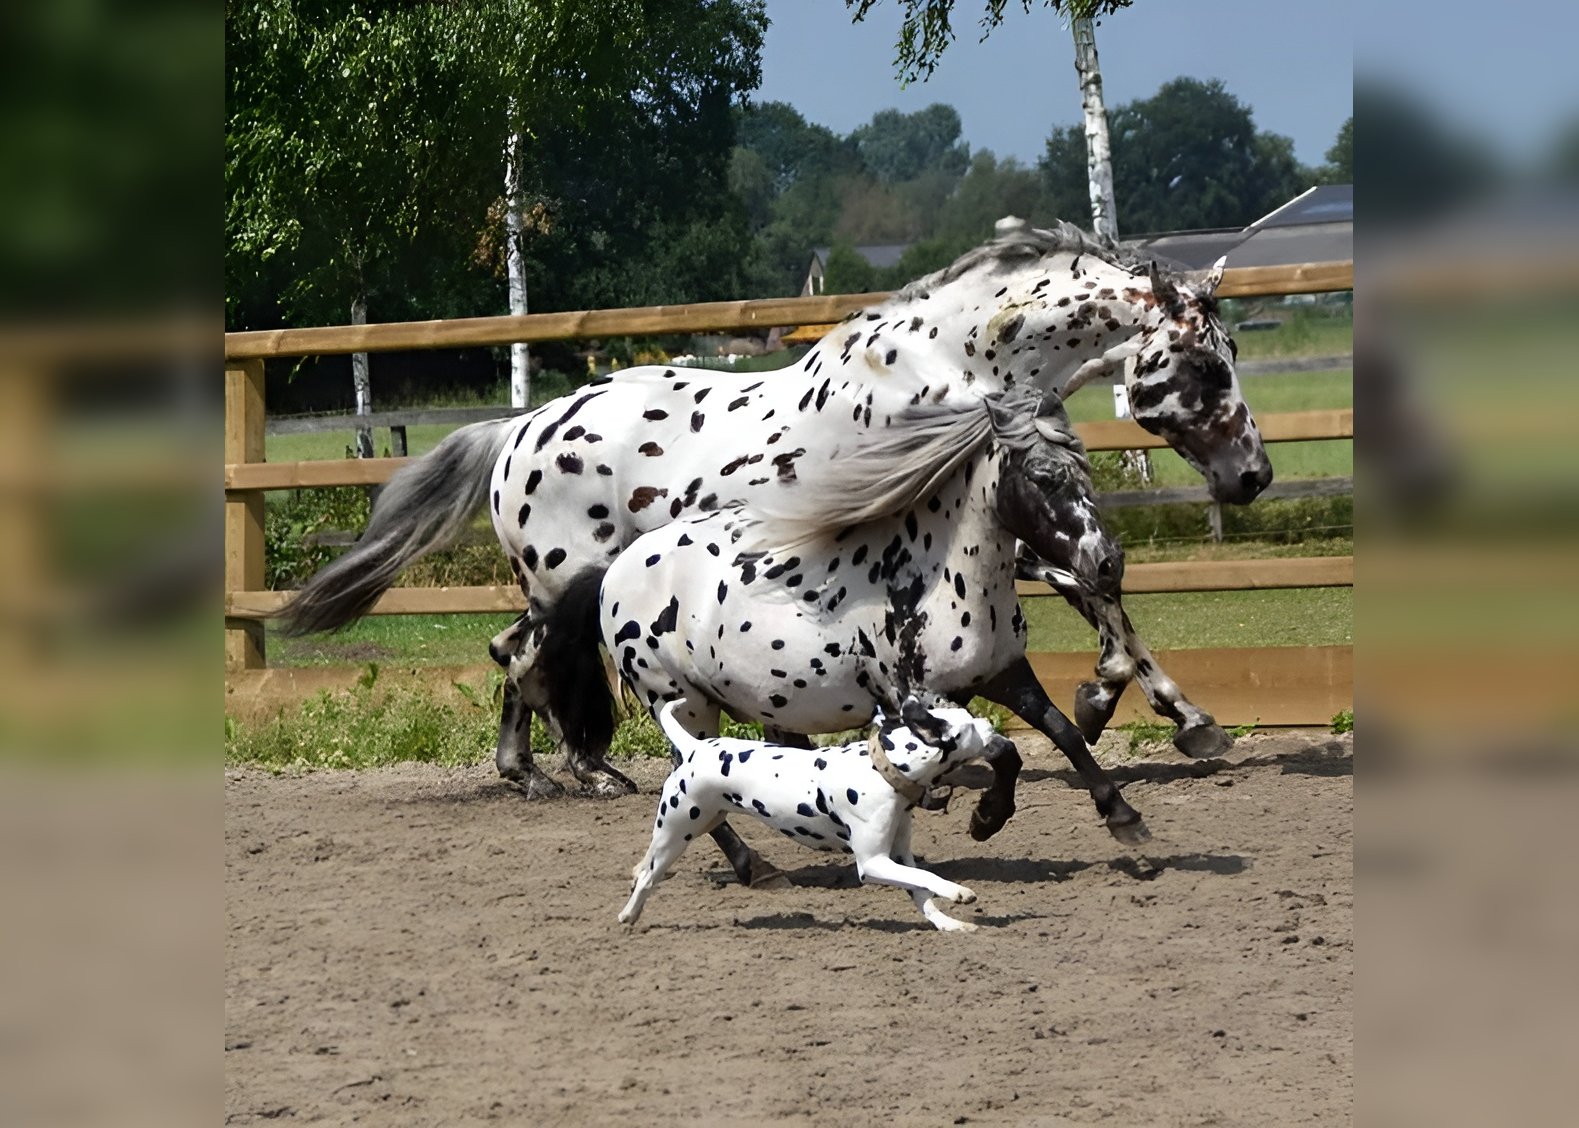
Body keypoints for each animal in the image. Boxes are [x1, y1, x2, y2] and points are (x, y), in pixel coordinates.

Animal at [615, 698, 1010, 928]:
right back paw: (629, 913)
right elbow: (928, 878)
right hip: (676, 834)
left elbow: (920, 891)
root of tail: (696, 747)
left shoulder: (899, 856)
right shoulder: (873, 864)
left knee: (645, 867)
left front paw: (948, 924)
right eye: (968, 725)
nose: (992, 727)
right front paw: (958, 892)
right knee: (649, 878)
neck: (881, 770)